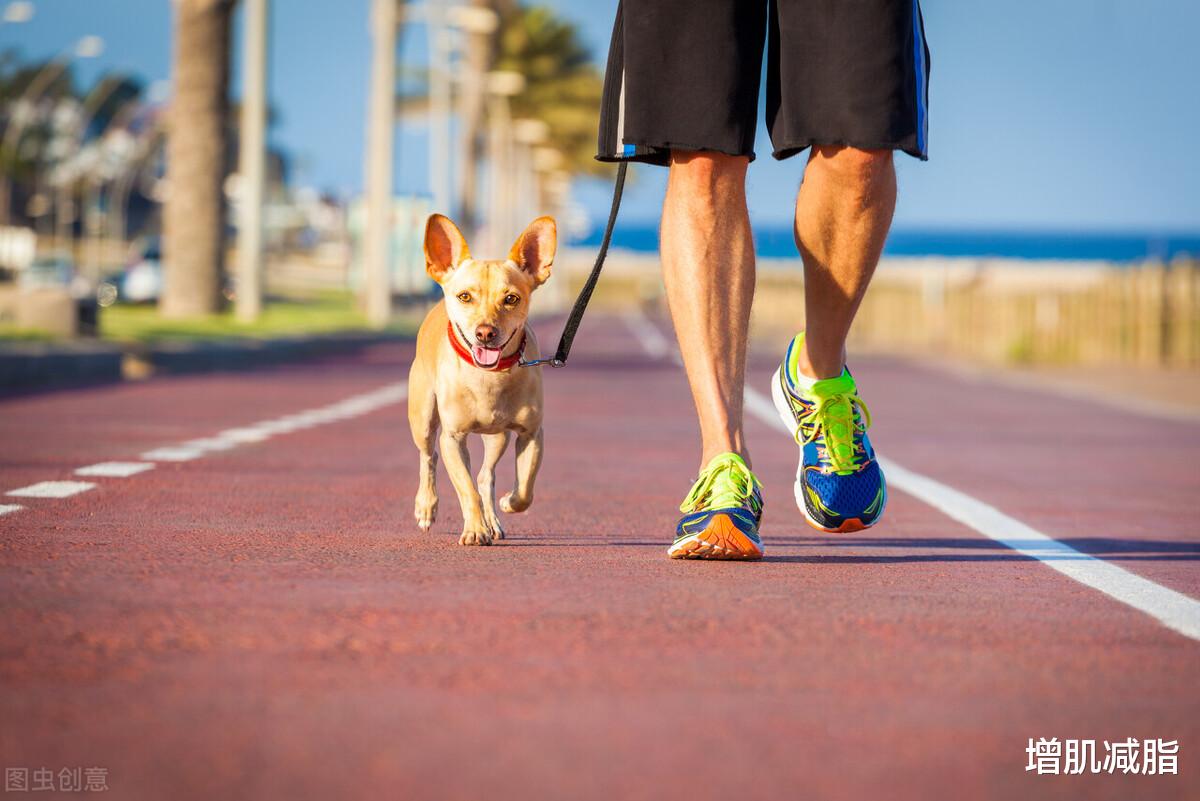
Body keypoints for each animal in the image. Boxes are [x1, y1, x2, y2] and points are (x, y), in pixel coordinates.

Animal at [403, 212, 552, 544]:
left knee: (486, 475)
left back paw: (493, 520)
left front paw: (508, 503)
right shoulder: (453, 438)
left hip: (498, 437)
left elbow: (525, 489)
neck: (488, 377)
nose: (485, 332)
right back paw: (425, 507)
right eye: (465, 297)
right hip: (423, 418)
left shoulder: (531, 434)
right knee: (427, 457)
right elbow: (466, 489)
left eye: (511, 298)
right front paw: (473, 530)